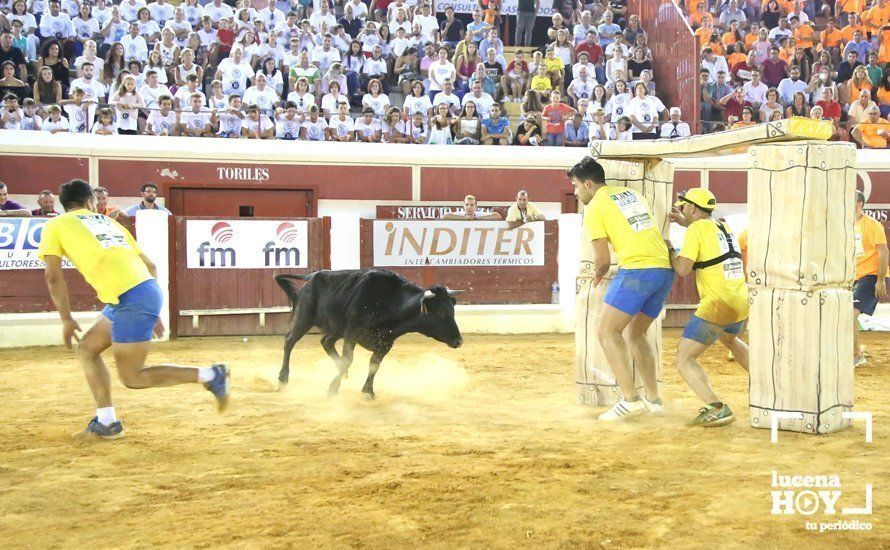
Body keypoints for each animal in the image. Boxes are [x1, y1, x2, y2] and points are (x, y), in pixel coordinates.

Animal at [274, 270, 462, 398]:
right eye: (440, 312)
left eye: (452, 310)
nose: (459, 341)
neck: (388, 304)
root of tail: (311, 276)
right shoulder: (352, 333)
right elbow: (348, 360)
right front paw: (333, 389)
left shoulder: (386, 342)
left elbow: (374, 364)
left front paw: (367, 391)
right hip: (304, 317)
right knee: (289, 341)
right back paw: (283, 378)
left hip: (336, 328)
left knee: (326, 342)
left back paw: (343, 373)